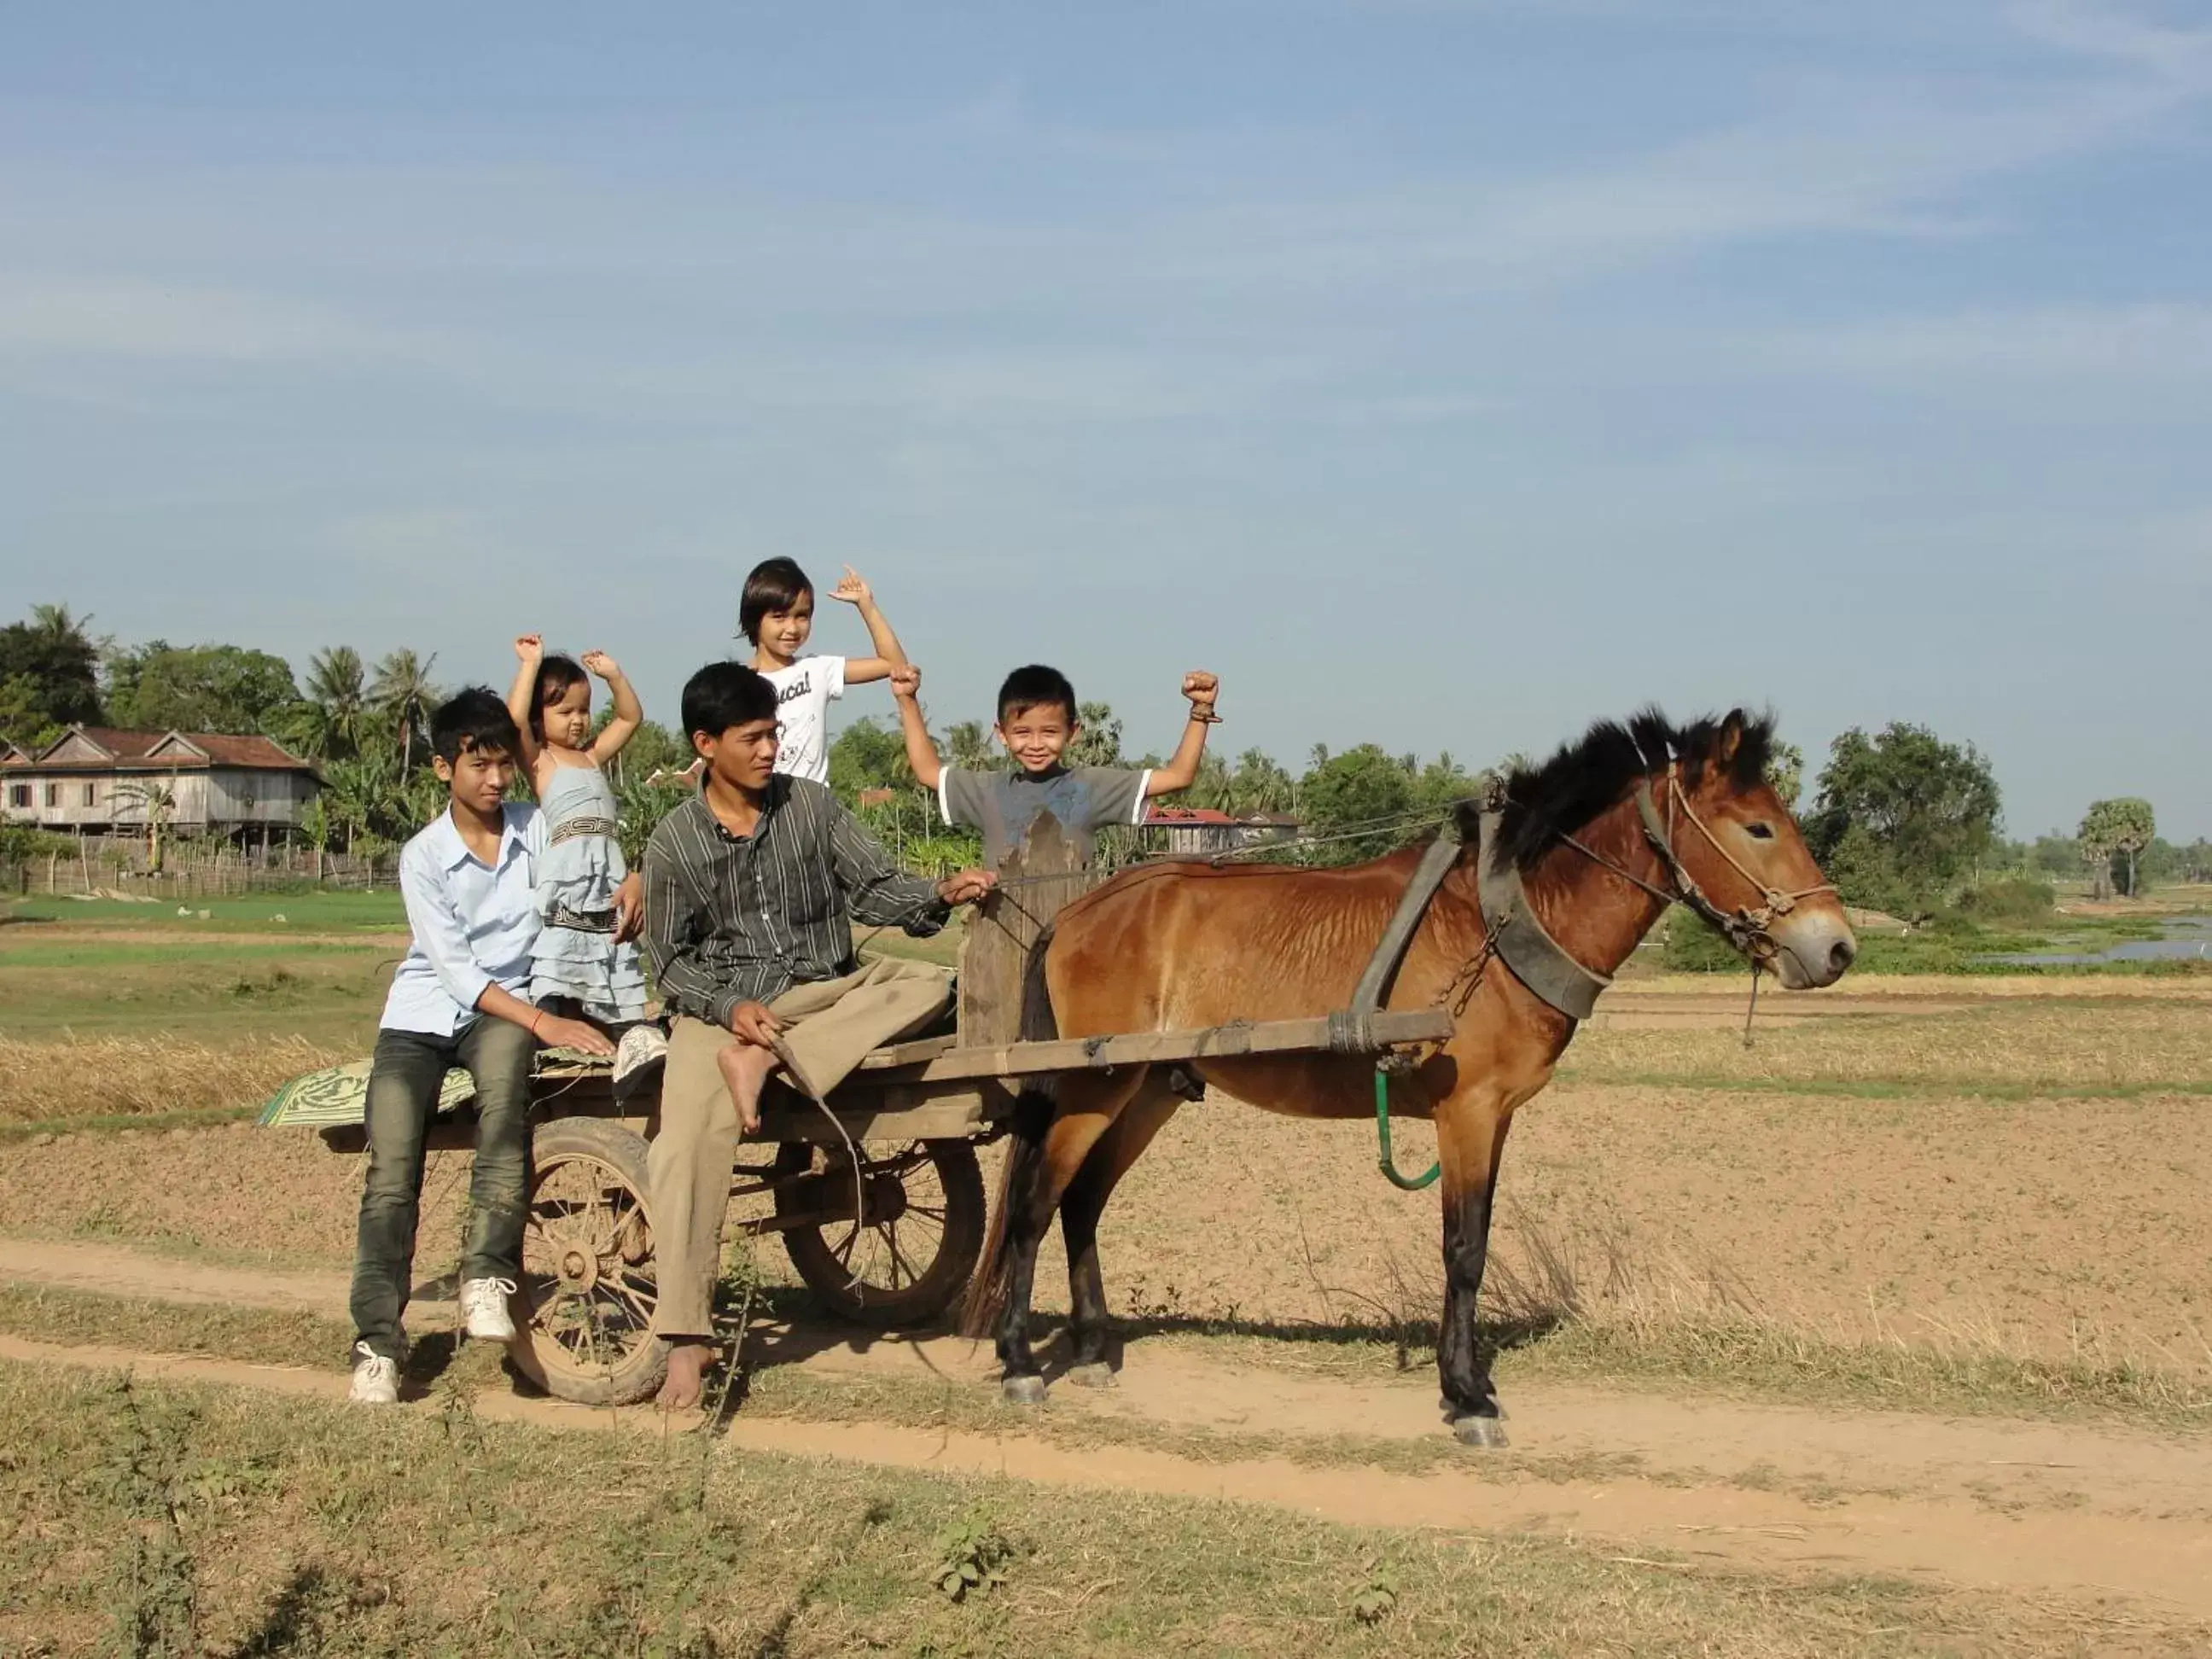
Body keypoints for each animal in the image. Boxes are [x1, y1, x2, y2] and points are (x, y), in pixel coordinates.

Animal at [964, 707, 1848, 1451]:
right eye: (1758, 825)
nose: (1837, 948)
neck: (1496, 922)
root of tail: (1076, 912)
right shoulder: (1469, 1114)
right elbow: (1464, 1250)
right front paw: (1467, 1396)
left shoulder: (1498, 1118)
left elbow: (1475, 1244)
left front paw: (1472, 1381)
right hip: (1095, 1088)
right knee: (1037, 1205)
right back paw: (1019, 1361)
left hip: (1145, 1089)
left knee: (1082, 1203)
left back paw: (1091, 1349)